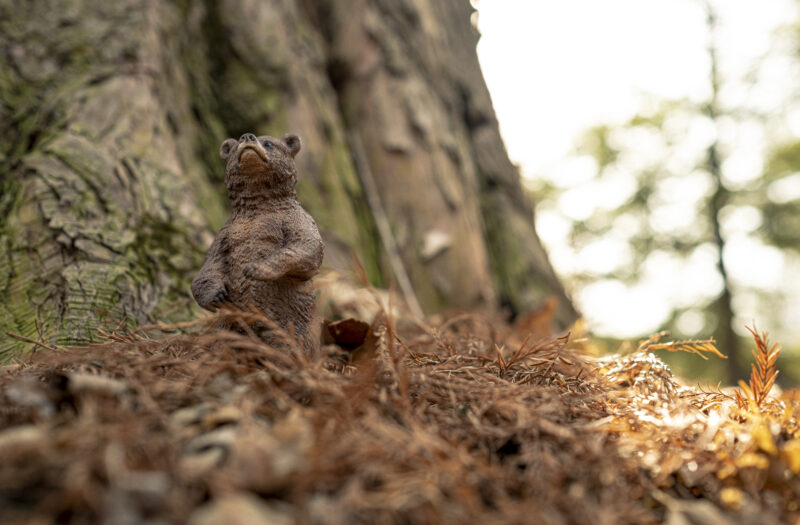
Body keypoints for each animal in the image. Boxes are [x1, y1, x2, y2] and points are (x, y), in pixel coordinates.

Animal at [191, 132, 324, 353]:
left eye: (269, 143)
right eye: (236, 144)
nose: (247, 136)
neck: (258, 203)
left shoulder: (295, 218)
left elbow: (308, 247)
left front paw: (257, 268)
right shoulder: (224, 234)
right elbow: (209, 267)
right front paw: (216, 295)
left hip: (291, 317)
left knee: (291, 341)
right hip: (232, 320)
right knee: (221, 337)